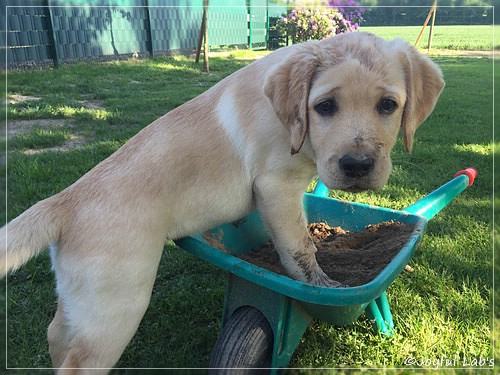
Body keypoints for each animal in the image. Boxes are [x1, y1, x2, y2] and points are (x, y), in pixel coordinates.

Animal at [0, 31, 446, 370]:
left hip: (81, 299)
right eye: (325, 106)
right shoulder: (276, 187)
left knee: (56, 335)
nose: (357, 166)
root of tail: (65, 201)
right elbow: (299, 249)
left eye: (388, 105)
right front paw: (321, 286)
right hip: (115, 307)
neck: (291, 124)